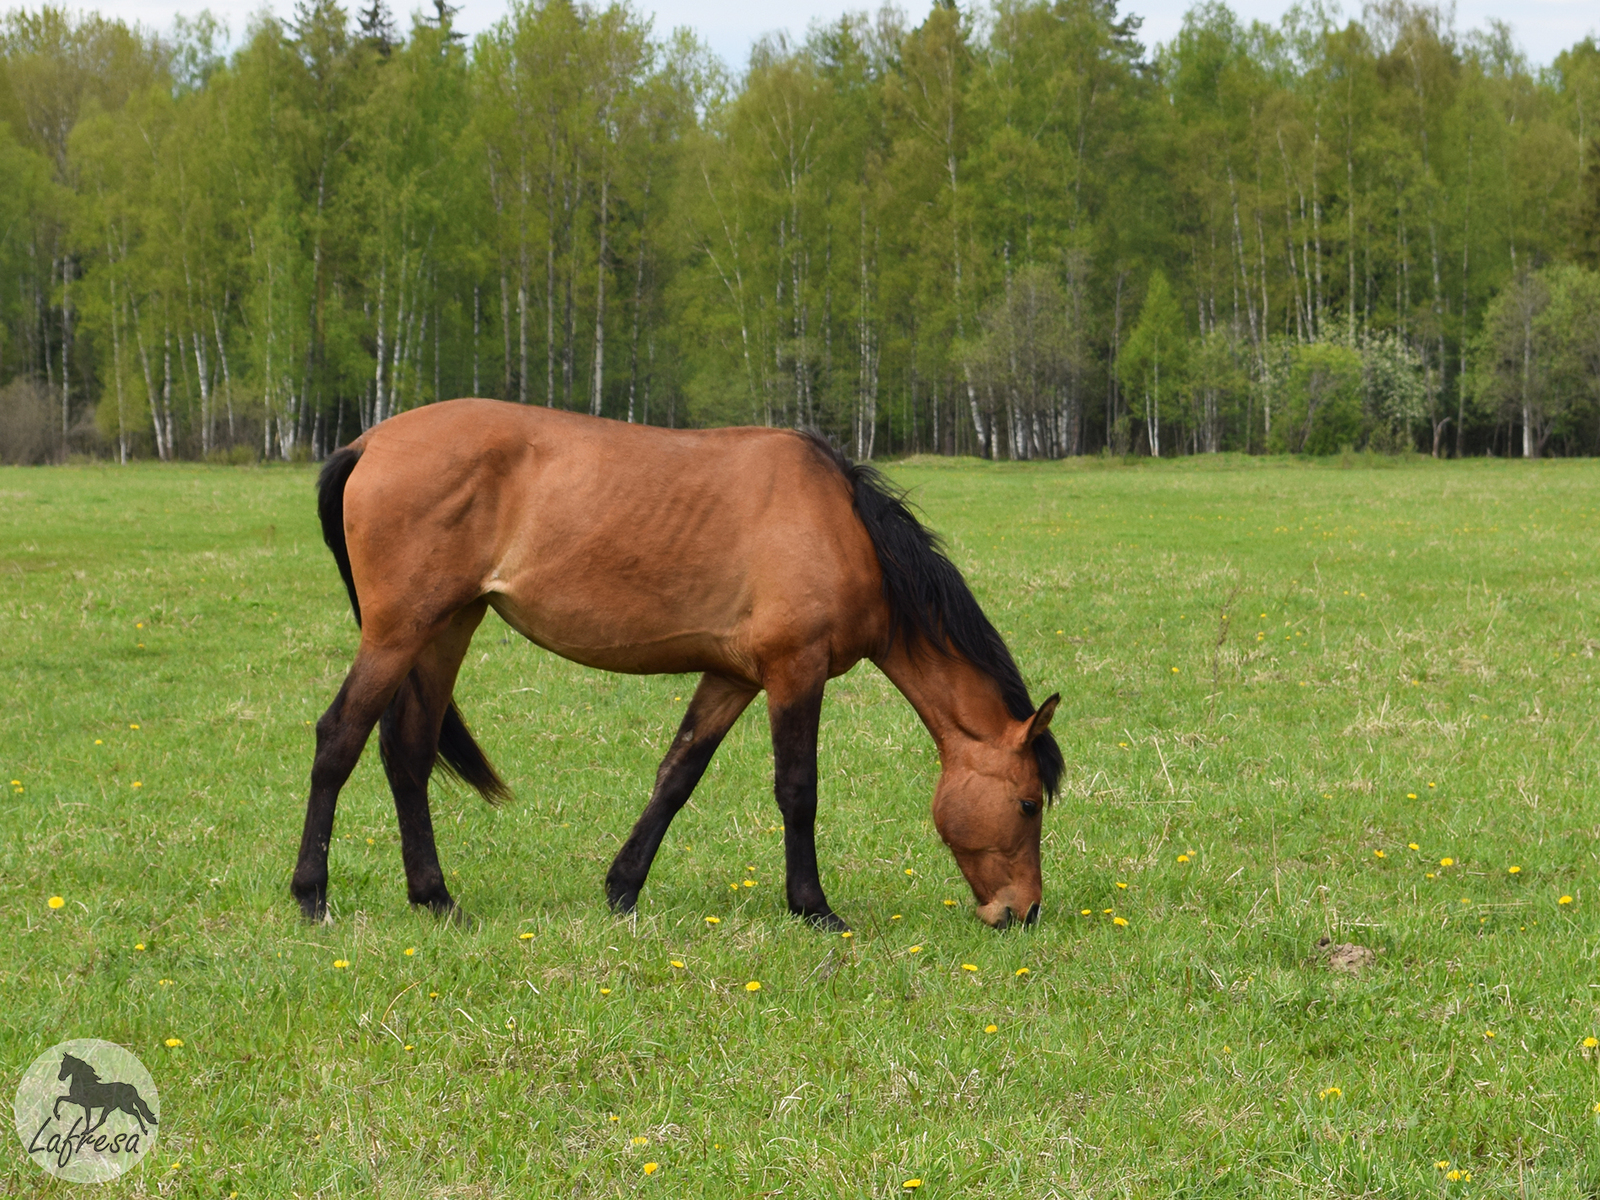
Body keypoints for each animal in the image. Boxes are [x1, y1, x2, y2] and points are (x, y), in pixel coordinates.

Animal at [291, 400, 1062, 934]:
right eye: (1028, 803)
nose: (1022, 912)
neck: (845, 528)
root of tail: (368, 442)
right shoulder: (795, 671)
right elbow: (798, 791)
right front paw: (813, 909)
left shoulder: (734, 677)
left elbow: (677, 774)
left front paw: (622, 889)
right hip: (397, 634)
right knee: (339, 739)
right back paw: (312, 896)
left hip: (445, 630)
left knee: (408, 753)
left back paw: (436, 898)